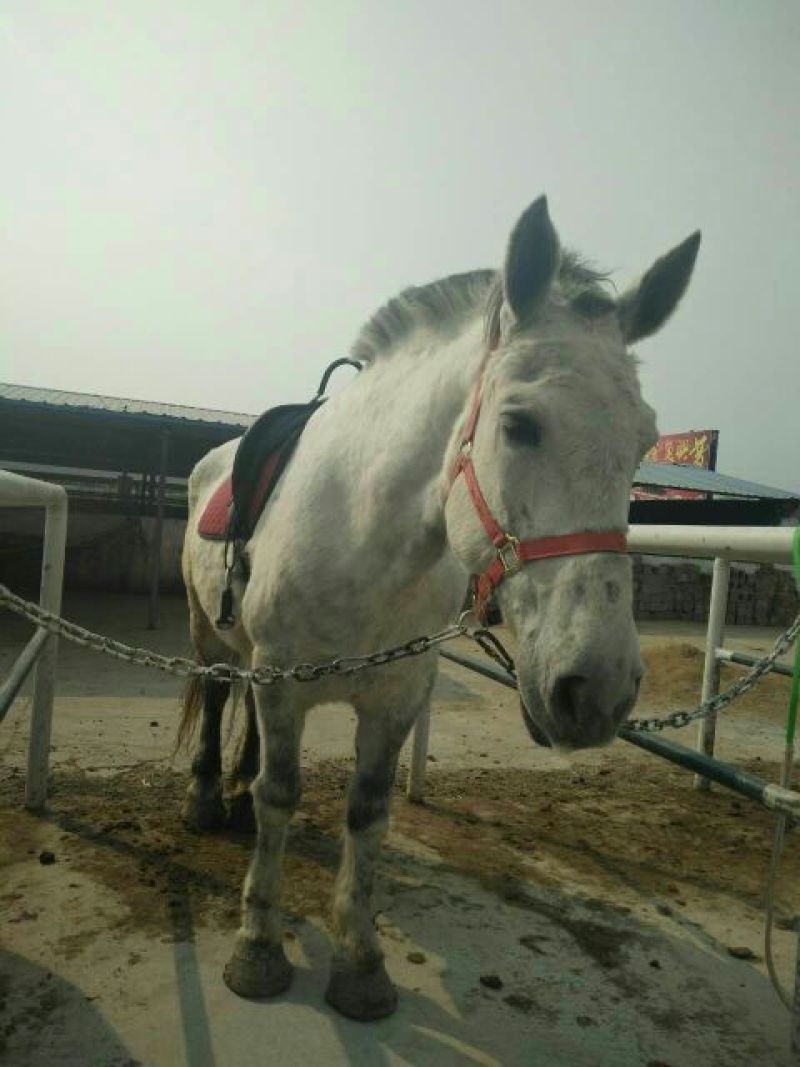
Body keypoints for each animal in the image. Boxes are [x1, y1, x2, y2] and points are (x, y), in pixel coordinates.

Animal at [178, 195, 700, 1020]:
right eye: (518, 424)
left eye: (645, 439)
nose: (599, 690)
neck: (362, 536)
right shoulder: (284, 685)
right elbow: (282, 795)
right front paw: (257, 947)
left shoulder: (392, 695)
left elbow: (366, 810)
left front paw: (360, 963)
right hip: (212, 639)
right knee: (217, 693)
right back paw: (206, 796)